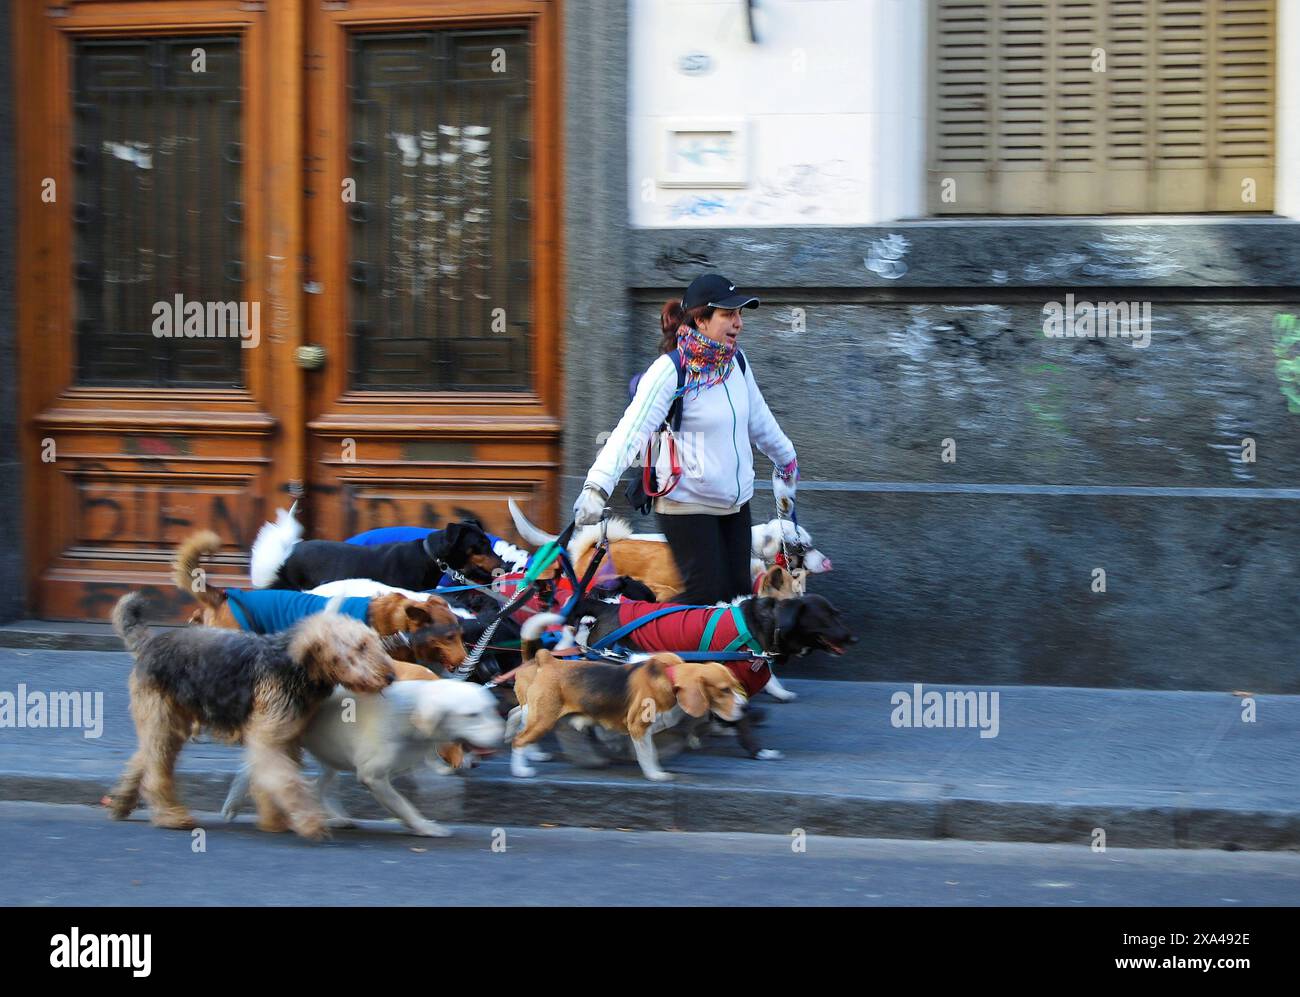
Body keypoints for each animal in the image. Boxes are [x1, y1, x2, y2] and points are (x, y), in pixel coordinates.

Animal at [223, 681, 501, 837]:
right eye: (472, 714)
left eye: (492, 709)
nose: (501, 738)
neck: (411, 713)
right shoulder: (372, 775)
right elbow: (402, 804)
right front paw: (424, 827)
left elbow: (400, 802)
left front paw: (414, 825)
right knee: (251, 767)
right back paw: (233, 804)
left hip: (330, 753)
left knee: (319, 786)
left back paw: (336, 817)